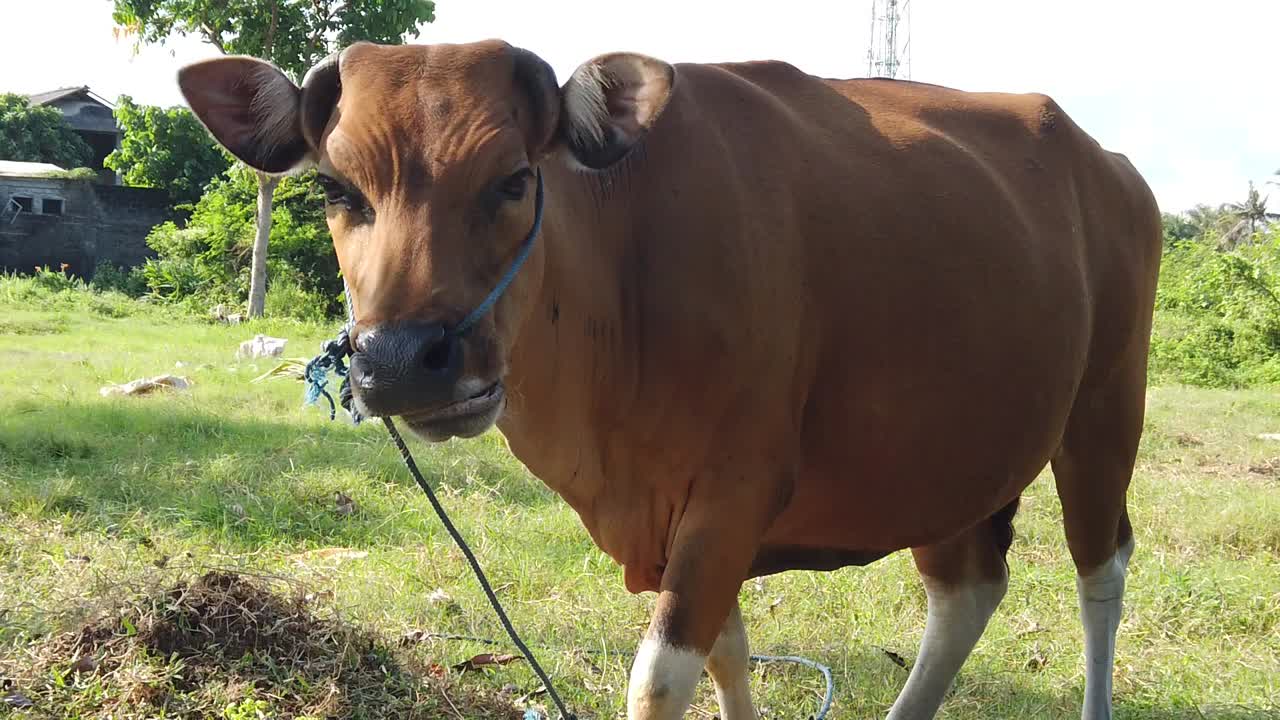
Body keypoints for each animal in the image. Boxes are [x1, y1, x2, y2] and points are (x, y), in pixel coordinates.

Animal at [177, 38, 1161, 720]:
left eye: (514, 180)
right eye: (336, 190)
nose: (401, 362)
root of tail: (1111, 166)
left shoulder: (734, 493)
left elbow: (661, 680)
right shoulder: (670, 517)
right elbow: (729, 651)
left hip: (1106, 408)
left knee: (1101, 569)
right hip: (948, 458)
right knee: (967, 589)